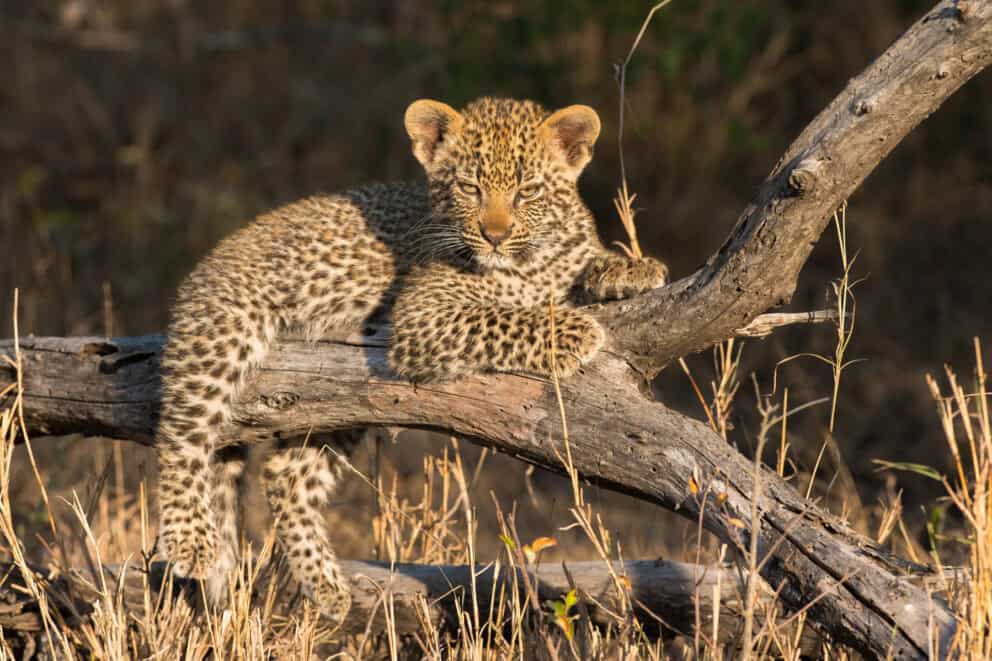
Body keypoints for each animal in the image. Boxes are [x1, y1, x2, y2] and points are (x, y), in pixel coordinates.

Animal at [155, 96, 668, 624]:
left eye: (527, 191)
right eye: (469, 188)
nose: (495, 235)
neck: (532, 260)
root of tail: (210, 260)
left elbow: (585, 261)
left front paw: (630, 268)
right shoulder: (424, 314)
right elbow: (500, 316)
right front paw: (572, 330)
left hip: (335, 407)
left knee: (285, 476)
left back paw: (327, 586)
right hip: (224, 331)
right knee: (180, 436)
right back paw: (190, 541)